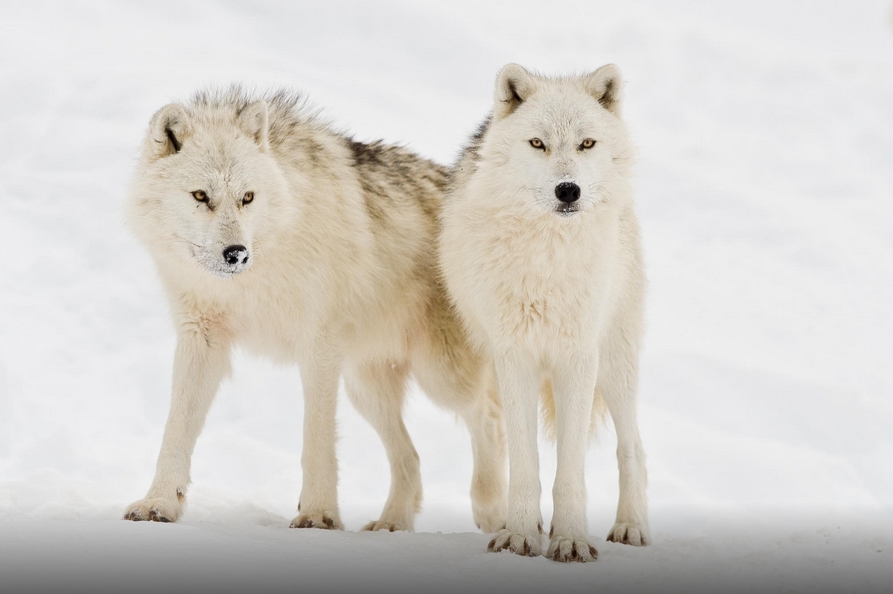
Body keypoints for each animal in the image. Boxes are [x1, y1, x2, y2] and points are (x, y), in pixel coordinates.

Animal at [123, 87, 507, 534]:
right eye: (201, 196)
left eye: (247, 198)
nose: (237, 254)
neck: (254, 276)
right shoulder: (200, 339)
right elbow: (175, 431)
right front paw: (158, 504)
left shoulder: (318, 347)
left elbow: (317, 440)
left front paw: (319, 515)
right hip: (365, 387)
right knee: (411, 457)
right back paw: (391, 524)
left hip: (441, 375)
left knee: (490, 417)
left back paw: (491, 511)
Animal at [439, 64, 649, 562]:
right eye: (538, 143)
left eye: (587, 144)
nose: (568, 189)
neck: (548, 260)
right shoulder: (514, 356)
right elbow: (524, 461)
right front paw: (519, 535)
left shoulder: (578, 357)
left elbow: (571, 467)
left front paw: (570, 538)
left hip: (616, 365)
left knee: (632, 447)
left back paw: (630, 527)